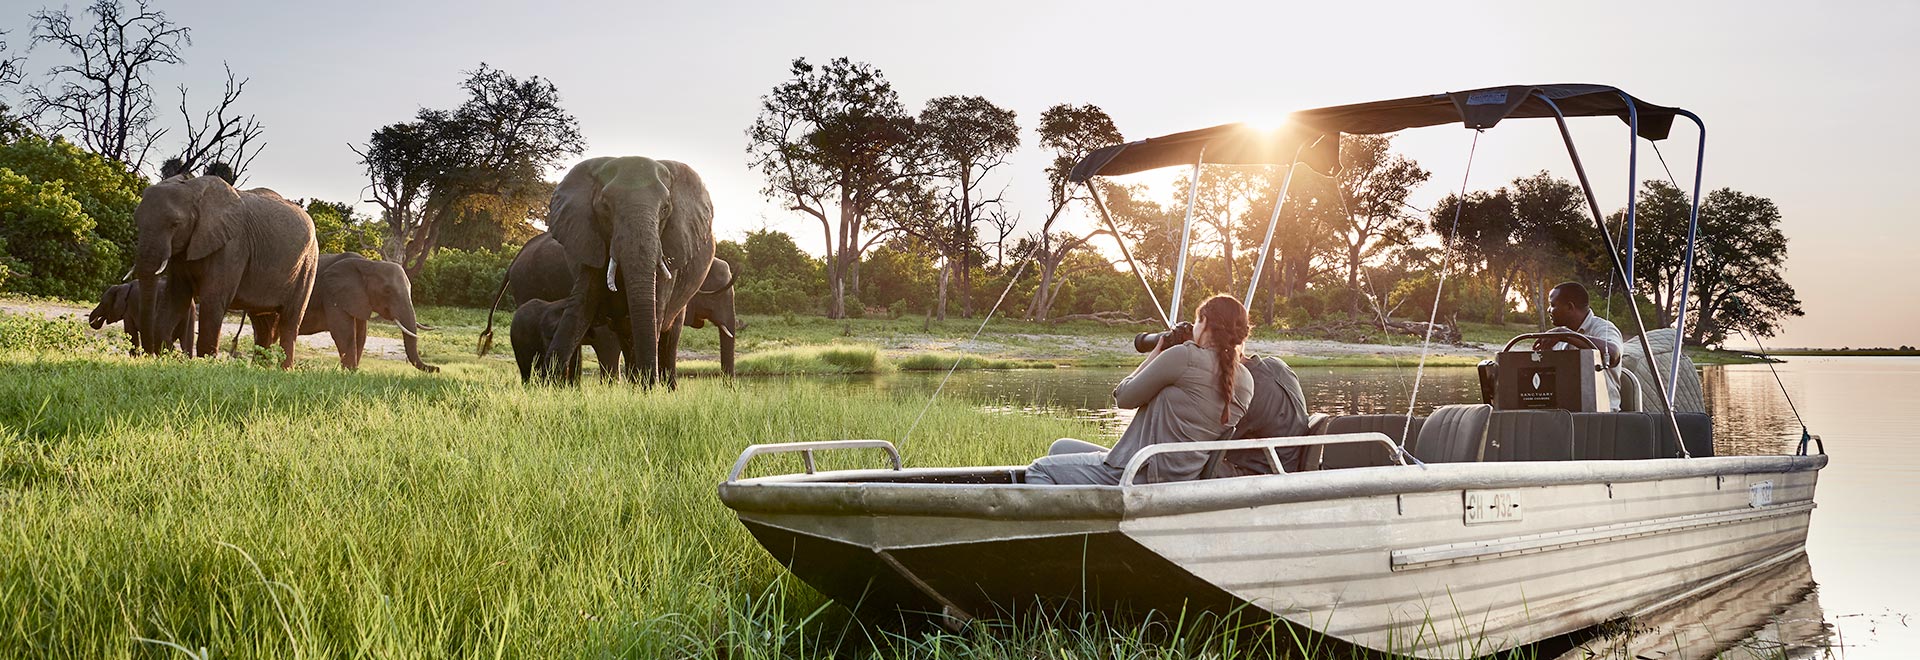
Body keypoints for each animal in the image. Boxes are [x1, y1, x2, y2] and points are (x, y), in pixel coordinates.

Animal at [133, 172, 318, 368]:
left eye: (175, 224)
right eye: (136, 221)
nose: (148, 355)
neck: (192, 188)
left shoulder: (232, 247)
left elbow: (212, 300)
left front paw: (205, 365)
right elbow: (177, 297)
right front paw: (169, 356)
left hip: (307, 264)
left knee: (289, 321)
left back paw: (284, 370)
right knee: (262, 324)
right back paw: (260, 368)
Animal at [545, 157, 718, 389]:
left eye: (665, 208)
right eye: (605, 206)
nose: (651, 385)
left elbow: (655, 309)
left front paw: (648, 389)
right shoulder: (591, 240)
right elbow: (581, 305)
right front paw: (543, 384)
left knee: (668, 335)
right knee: (626, 333)